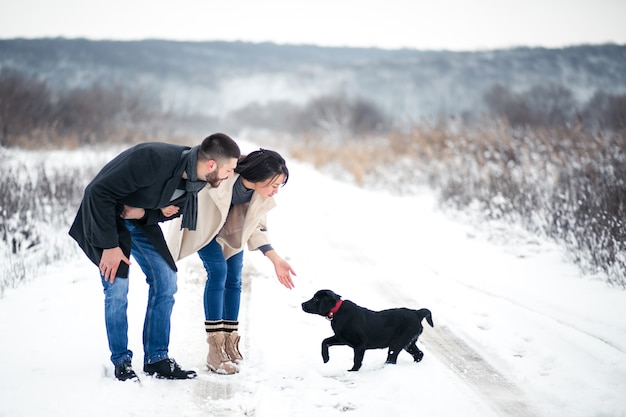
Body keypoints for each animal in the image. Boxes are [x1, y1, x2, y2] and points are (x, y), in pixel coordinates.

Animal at [300, 290, 432, 370]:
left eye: (316, 299)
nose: (302, 304)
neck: (337, 312)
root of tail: (417, 313)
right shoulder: (341, 338)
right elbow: (324, 342)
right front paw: (326, 359)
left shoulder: (360, 345)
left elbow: (357, 360)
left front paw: (352, 372)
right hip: (408, 344)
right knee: (419, 354)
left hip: (397, 344)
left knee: (392, 359)